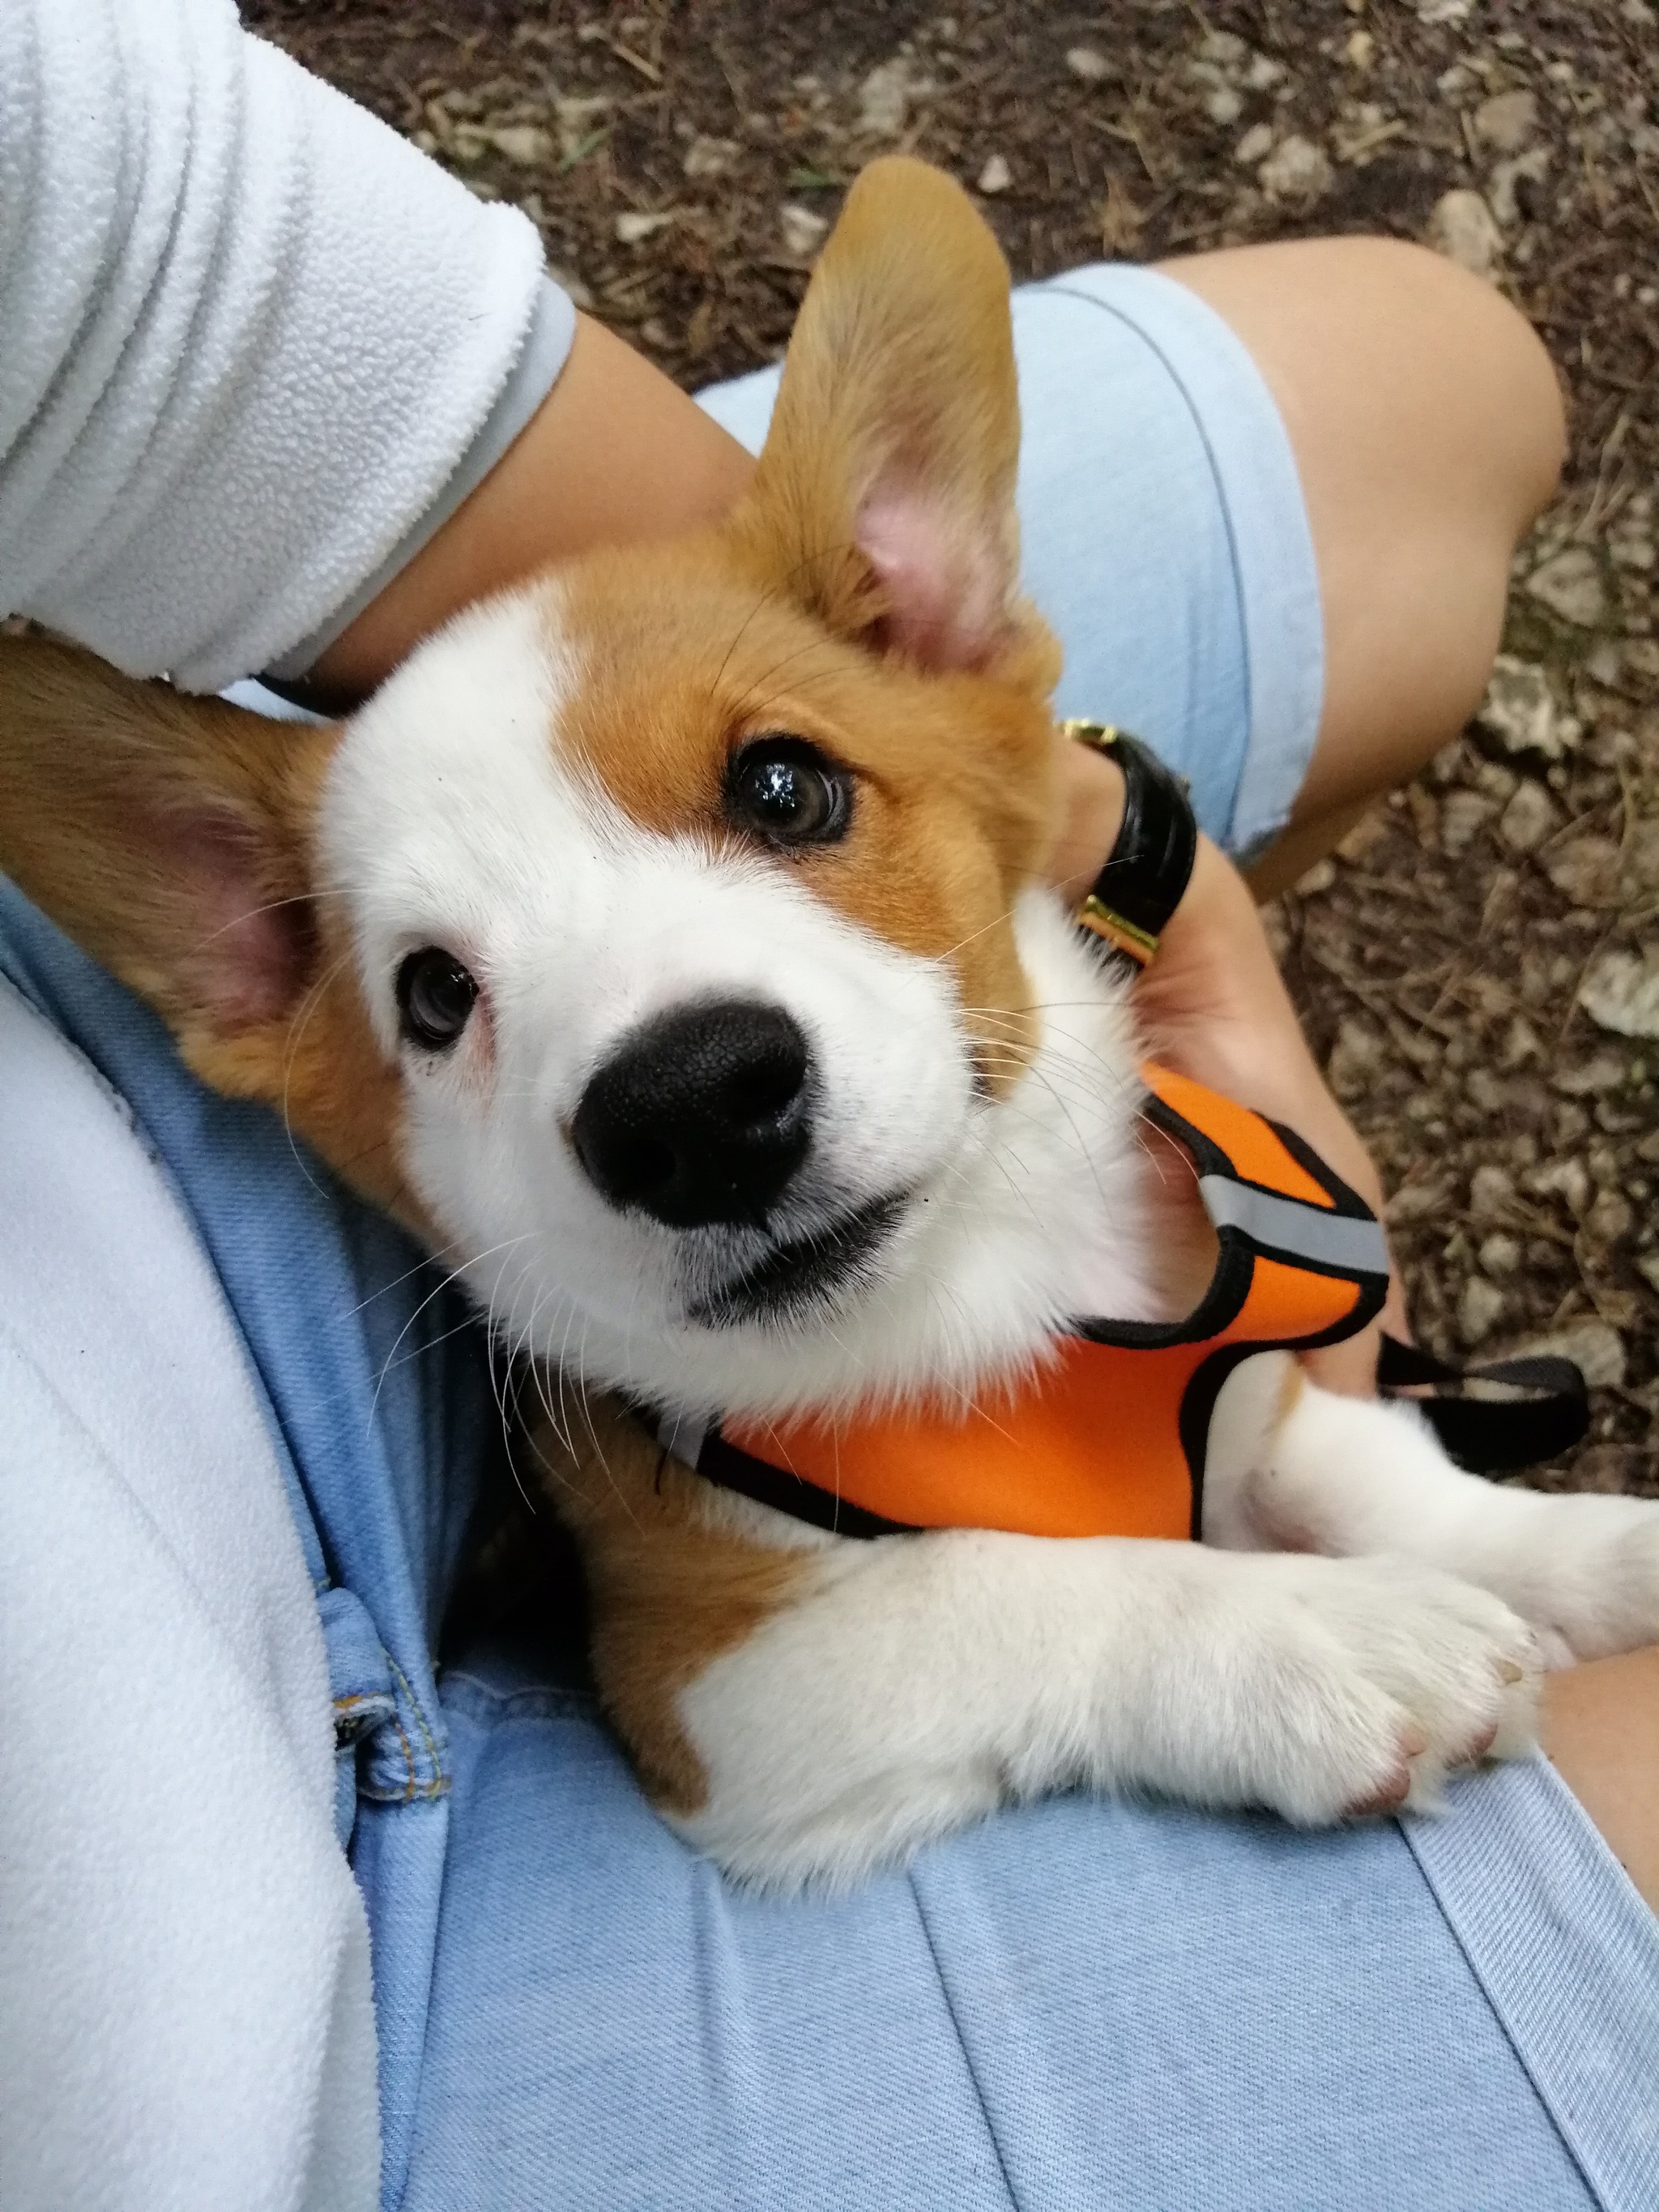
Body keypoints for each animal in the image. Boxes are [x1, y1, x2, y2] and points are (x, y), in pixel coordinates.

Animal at [3, 160, 1659, 1884]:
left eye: (785, 785)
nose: (688, 1109)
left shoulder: (1260, 1392)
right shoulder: (724, 1681)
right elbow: (1021, 1582)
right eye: (434, 993)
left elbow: (1394, 1477)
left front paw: (1600, 1553)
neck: (985, 1302)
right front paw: (1317, 1640)